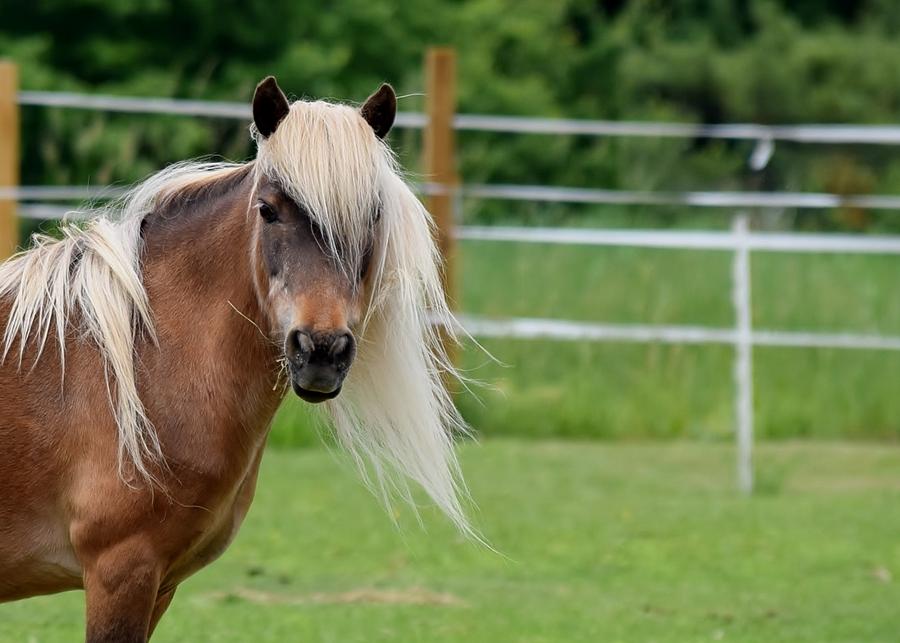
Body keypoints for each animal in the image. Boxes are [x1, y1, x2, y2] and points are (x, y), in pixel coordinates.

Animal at [0, 78, 474, 640]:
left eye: (373, 216)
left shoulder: (158, 583)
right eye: (267, 210)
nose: (321, 350)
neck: (136, 364)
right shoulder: (121, 570)